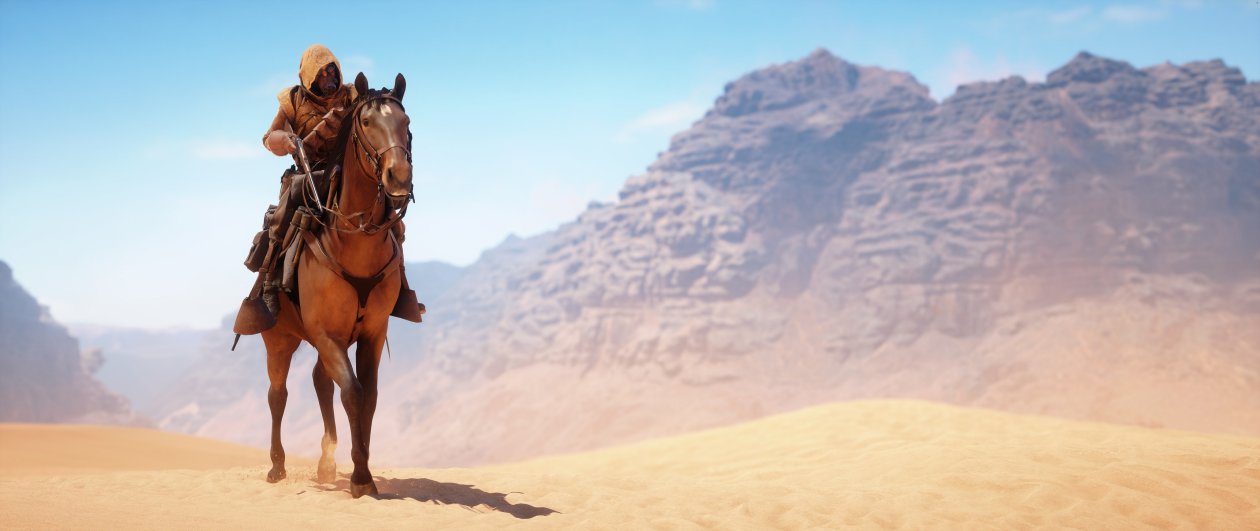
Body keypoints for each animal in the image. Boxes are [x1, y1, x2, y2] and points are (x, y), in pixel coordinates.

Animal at [260, 72, 413, 498]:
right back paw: (277, 466)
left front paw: (364, 471)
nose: (399, 176)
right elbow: (353, 393)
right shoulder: (326, 334)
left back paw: (326, 464)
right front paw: (360, 477)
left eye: (406, 122)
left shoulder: (372, 332)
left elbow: (369, 395)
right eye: (366, 123)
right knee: (278, 395)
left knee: (318, 382)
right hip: (280, 339)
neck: (354, 240)